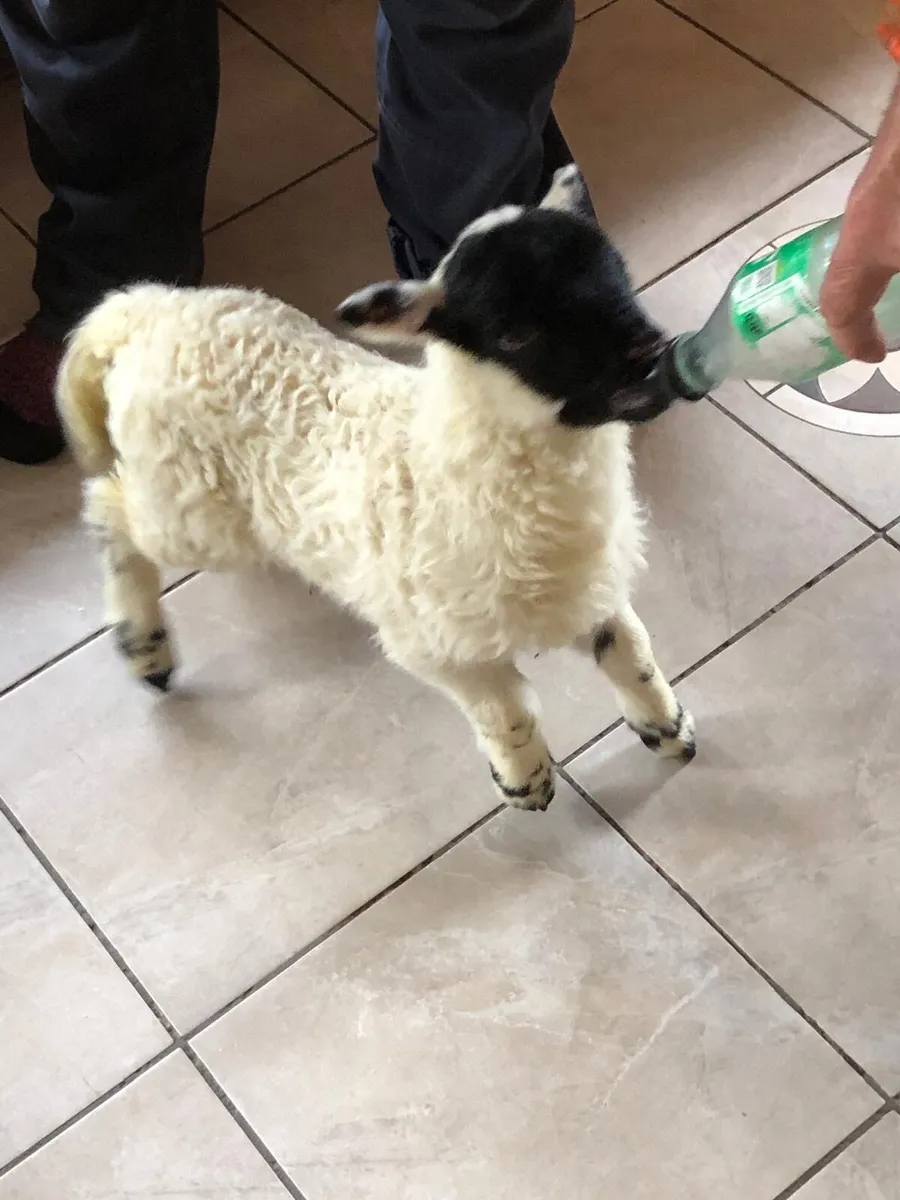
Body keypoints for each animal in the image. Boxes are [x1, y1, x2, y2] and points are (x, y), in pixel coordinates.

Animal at [56, 165, 696, 812]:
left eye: (620, 274)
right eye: (516, 335)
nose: (650, 355)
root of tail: (148, 313)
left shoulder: (592, 592)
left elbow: (633, 654)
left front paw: (667, 731)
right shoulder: (431, 644)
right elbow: (503, 708)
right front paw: (526, 780)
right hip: (189, 507)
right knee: (109, 506)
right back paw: (144, 647)